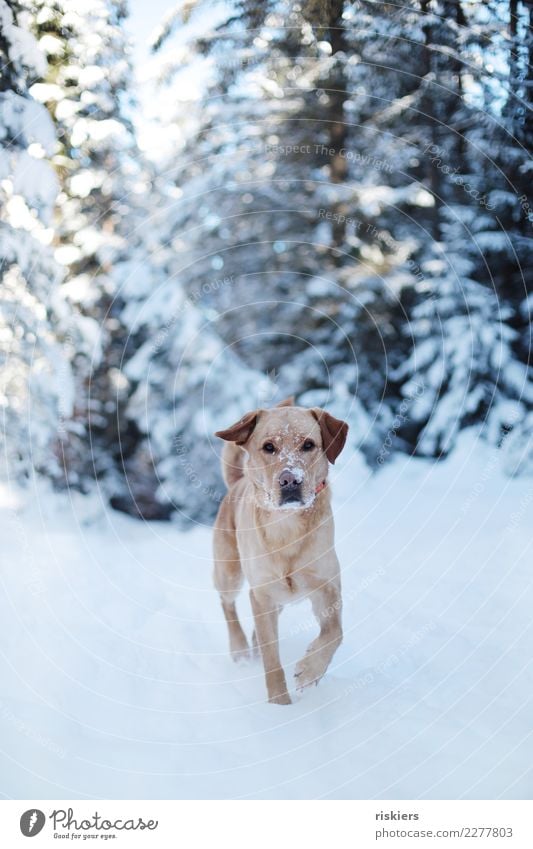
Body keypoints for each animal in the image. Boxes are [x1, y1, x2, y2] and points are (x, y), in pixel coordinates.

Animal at [214, 398, 348, 704]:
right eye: (268, 447)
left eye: (309, 445)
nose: (290, 481)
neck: (287, 527)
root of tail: (236, 483)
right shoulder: (262, 593)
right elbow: (272, 661)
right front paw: (280, 706)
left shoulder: (327, 587)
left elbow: (335, 633)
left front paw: (310, 671)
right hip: (229, 571)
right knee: (227, 604)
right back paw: (240, 649)